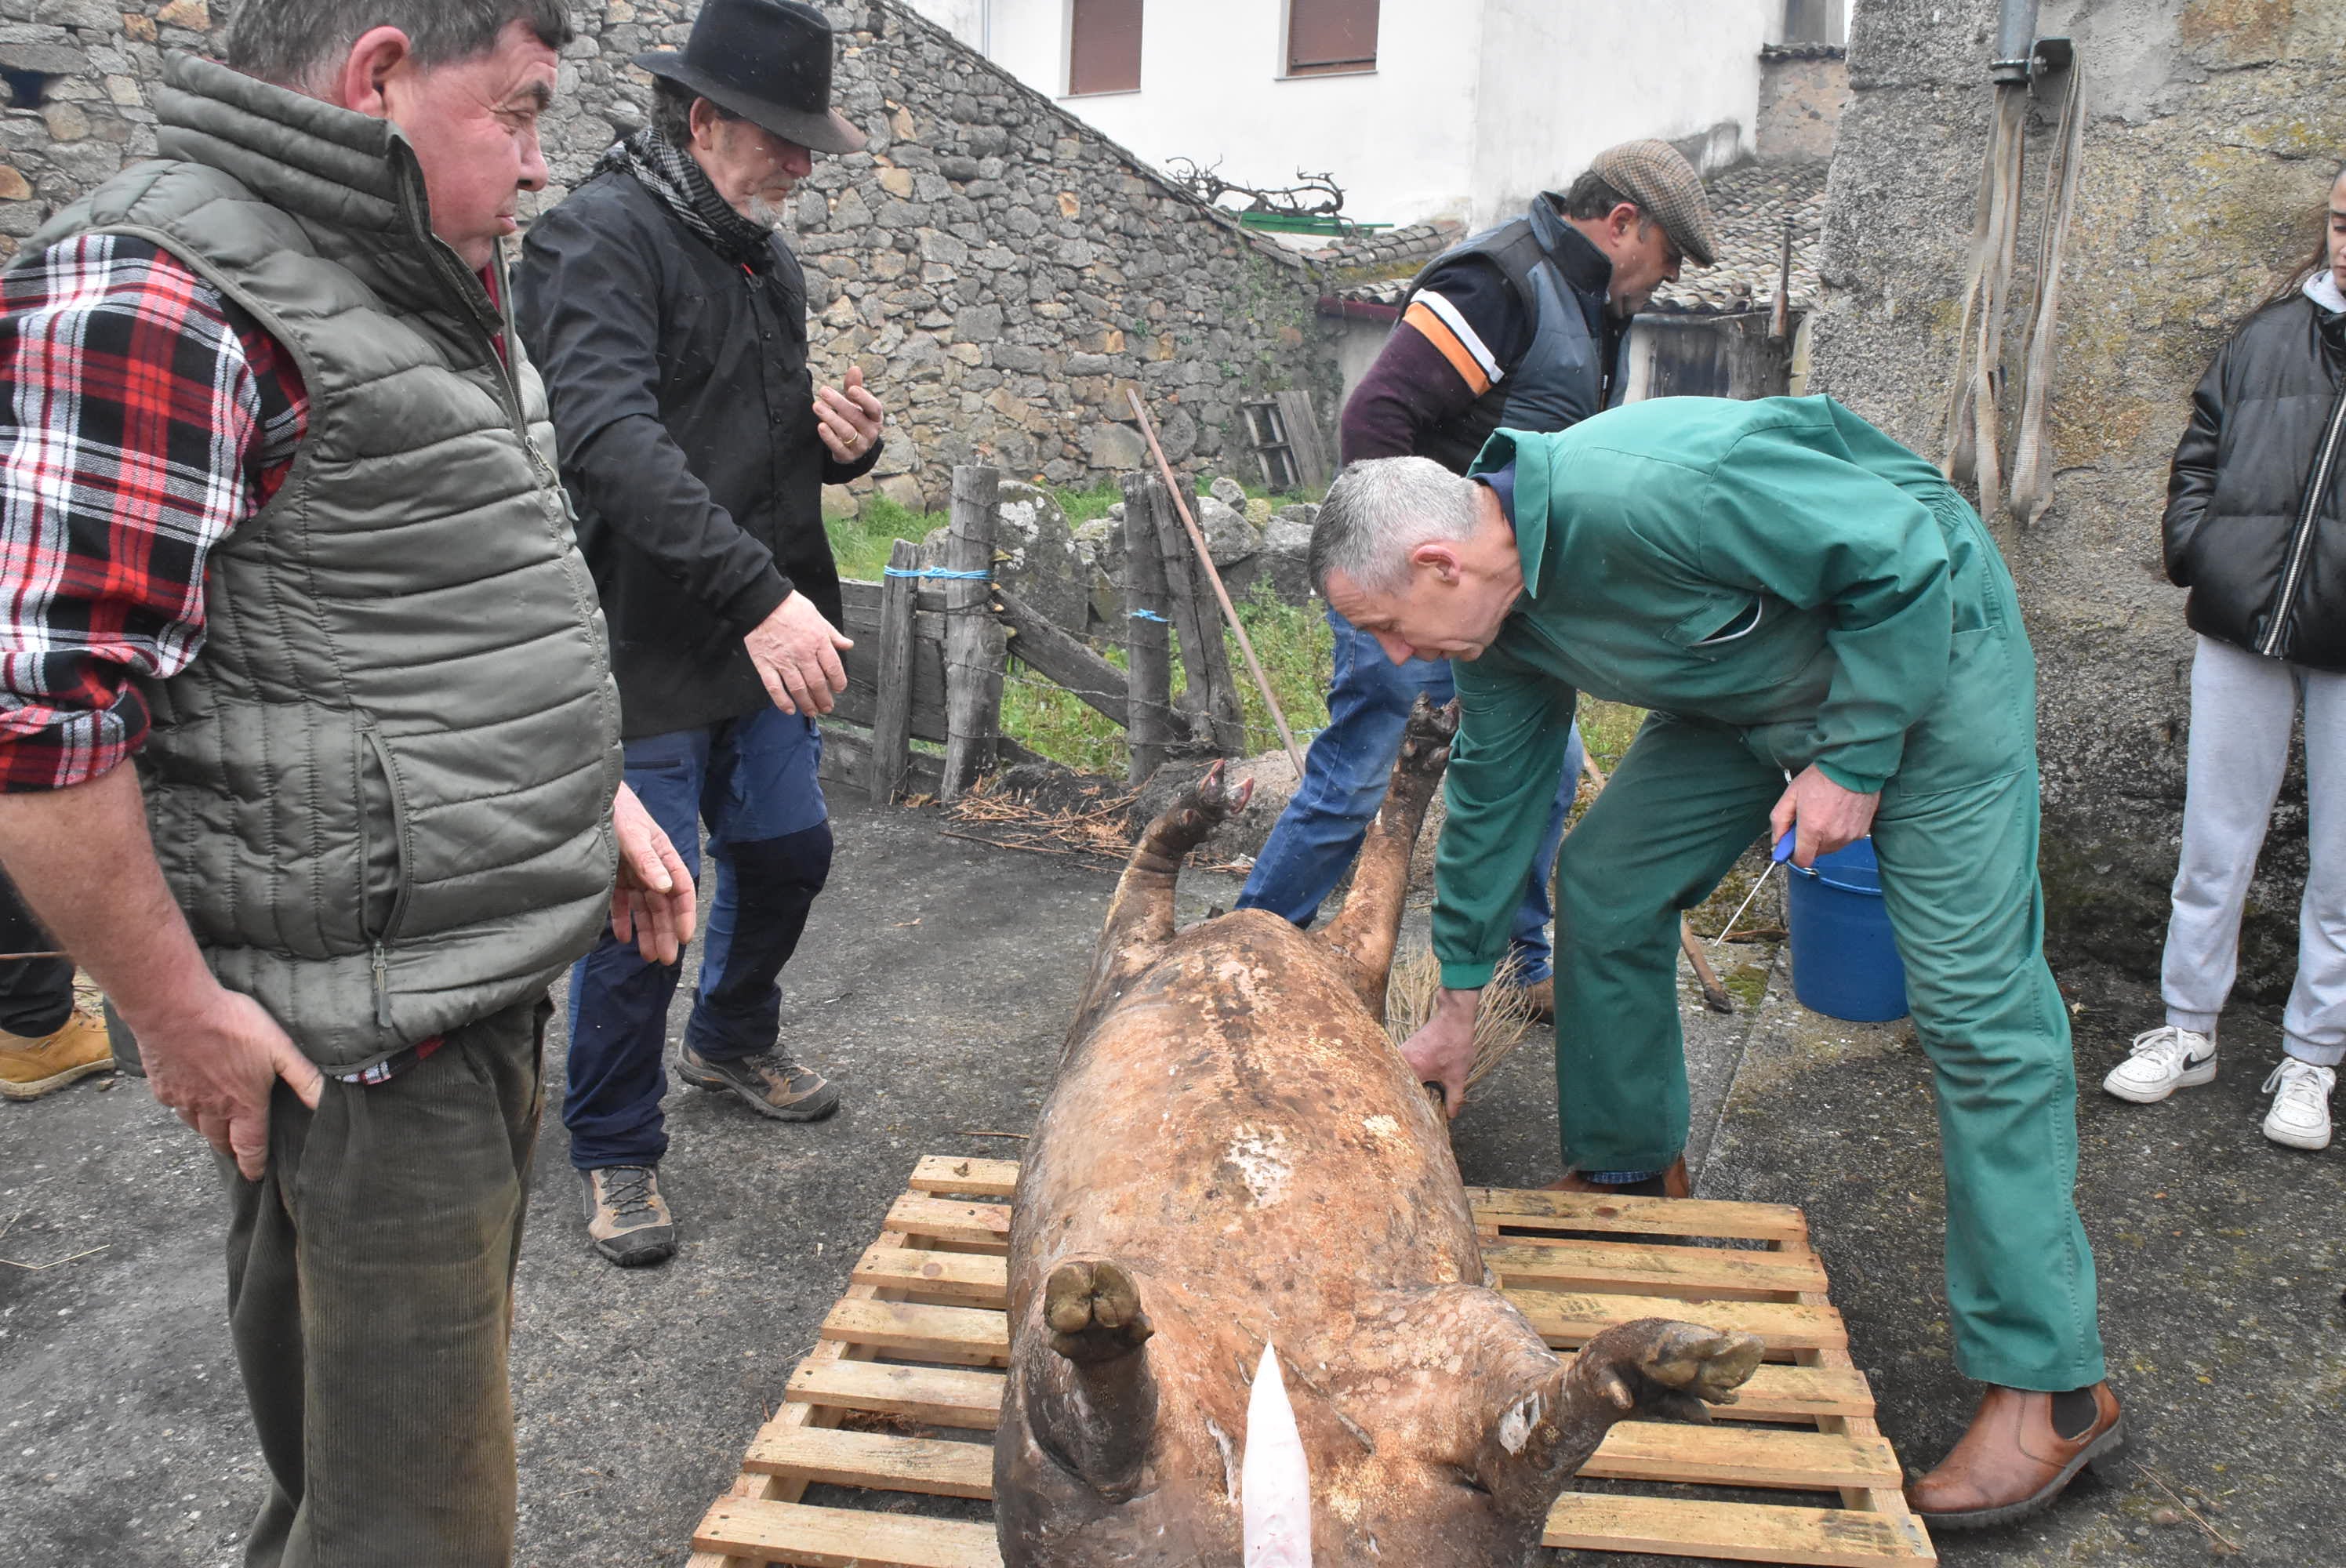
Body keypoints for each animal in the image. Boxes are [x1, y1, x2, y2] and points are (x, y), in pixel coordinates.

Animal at [994, 704, 1763, 1559]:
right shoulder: (1131, 967)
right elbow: (1159, 885)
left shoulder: (1294, 964)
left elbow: (1350, 893)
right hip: (1061, 1452)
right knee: (1089, 1431)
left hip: (1451, 1331)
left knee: (1516, 1441)